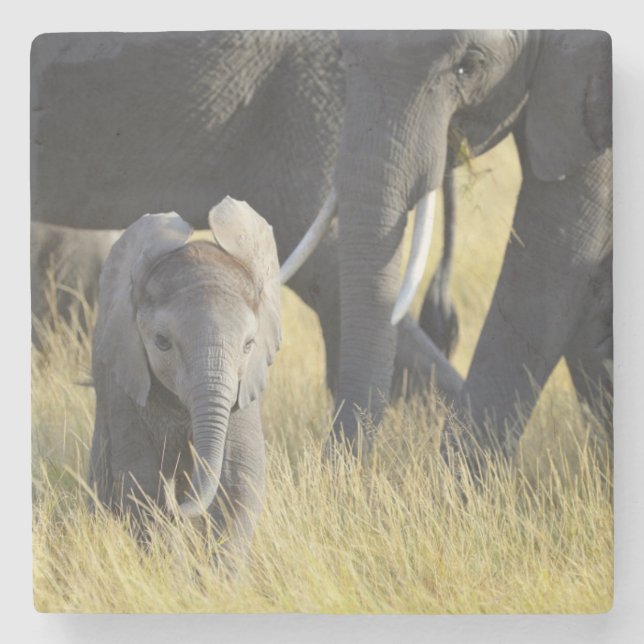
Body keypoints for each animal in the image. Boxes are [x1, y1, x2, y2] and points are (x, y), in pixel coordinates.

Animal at [88, 197, 280, 561]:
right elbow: (142, 481)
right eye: (162, 342)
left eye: (249, 345)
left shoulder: (242, 388)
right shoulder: (124, 380)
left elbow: (240, 475)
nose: (180, 503)